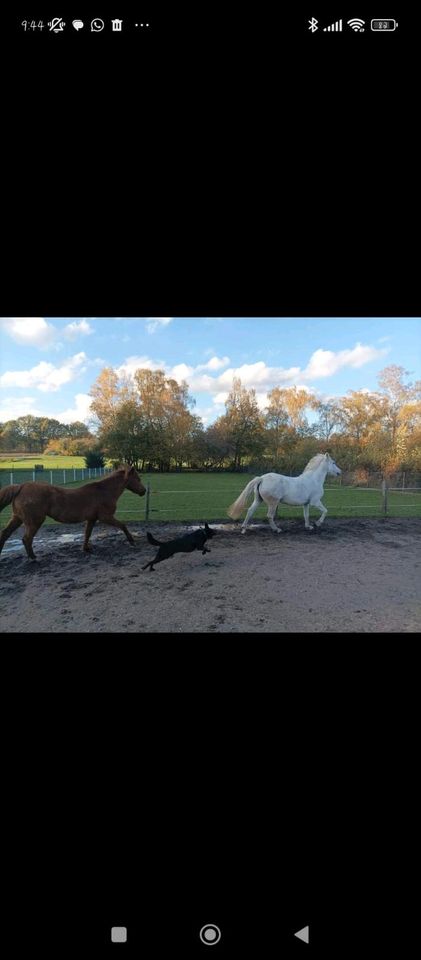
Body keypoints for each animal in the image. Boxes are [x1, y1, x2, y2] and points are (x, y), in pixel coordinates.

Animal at [0, 466, 146, 560]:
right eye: (138, 479)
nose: (144, 491)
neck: (103, 491)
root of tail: (21, 486)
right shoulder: (105, 517)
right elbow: (123, 525)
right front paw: (132, 541)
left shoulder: (92, 519)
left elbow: (87, 534)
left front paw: (86, 549)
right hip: (34, 522)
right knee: (26, 539)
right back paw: (33, 558)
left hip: (17, 518)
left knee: (5, 534)